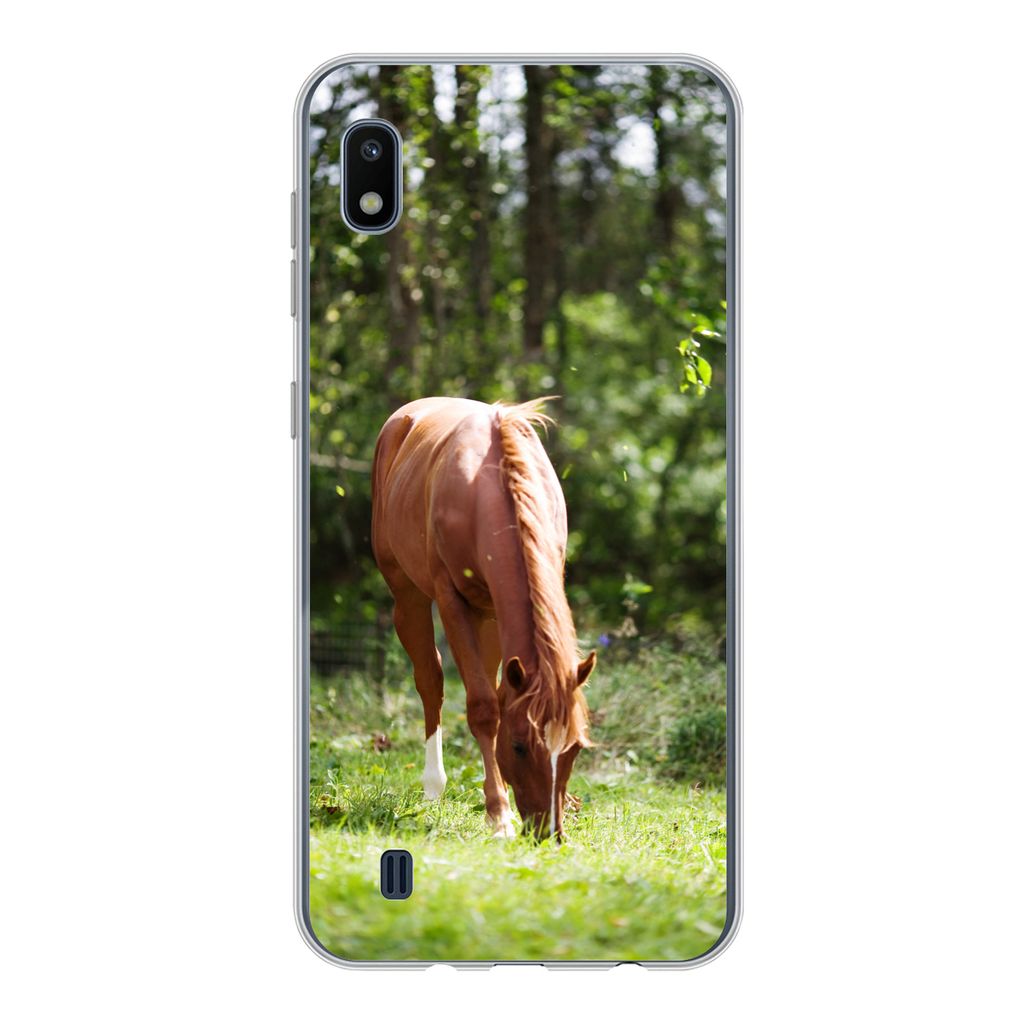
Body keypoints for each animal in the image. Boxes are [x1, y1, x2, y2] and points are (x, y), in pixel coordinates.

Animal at [371, 397, 596, 839]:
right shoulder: (453, 600)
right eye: (520, 746)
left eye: (575, 747)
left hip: (490, 615)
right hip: (408, 596)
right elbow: (482, 708)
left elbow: (497, 697)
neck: (488, 489)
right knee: (430, 680)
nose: (549, 833)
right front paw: (499, 816)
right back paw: (433, 787)